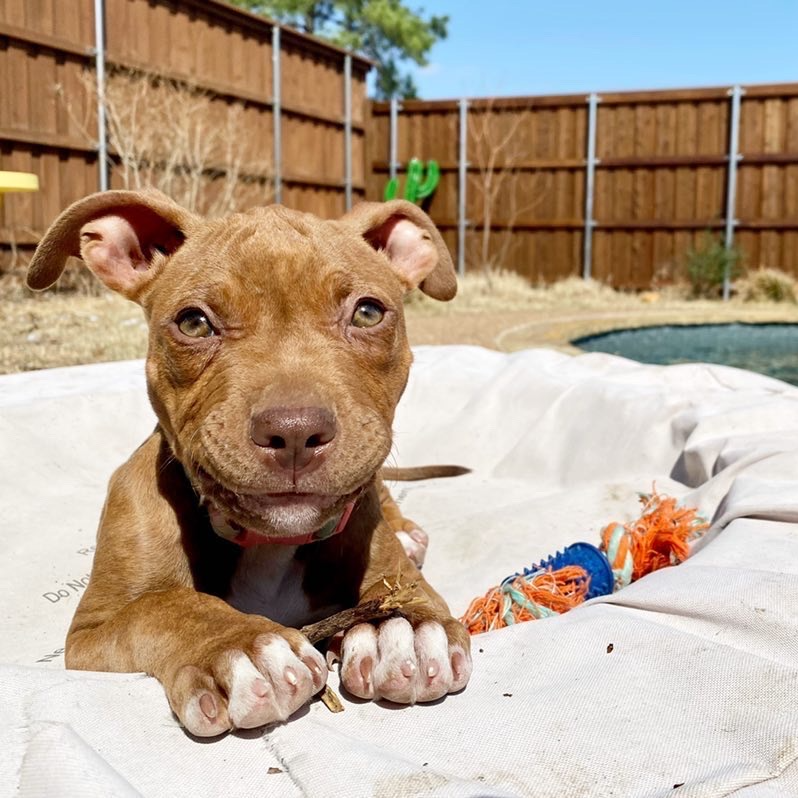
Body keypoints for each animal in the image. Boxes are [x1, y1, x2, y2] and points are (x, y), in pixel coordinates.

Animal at [28, 192, 472, 736]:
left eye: (368, 313)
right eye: (193, 322)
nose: (295, 431)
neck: (269, 544)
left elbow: (405, 589)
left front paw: (403, 626)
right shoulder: (93, 628)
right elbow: (163, 606)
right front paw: (238, 644)